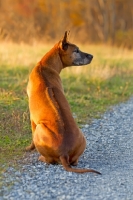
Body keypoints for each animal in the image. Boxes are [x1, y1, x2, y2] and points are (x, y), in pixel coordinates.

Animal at [26, 30, 100, 173]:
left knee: (49, 160)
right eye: (76, 50)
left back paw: (41, 158)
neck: (46, 66)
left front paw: (29, 149)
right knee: (75, 161)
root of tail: (64, 153)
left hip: (39, 128)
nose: (92, 56)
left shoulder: (32, 118)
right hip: (82, 138)